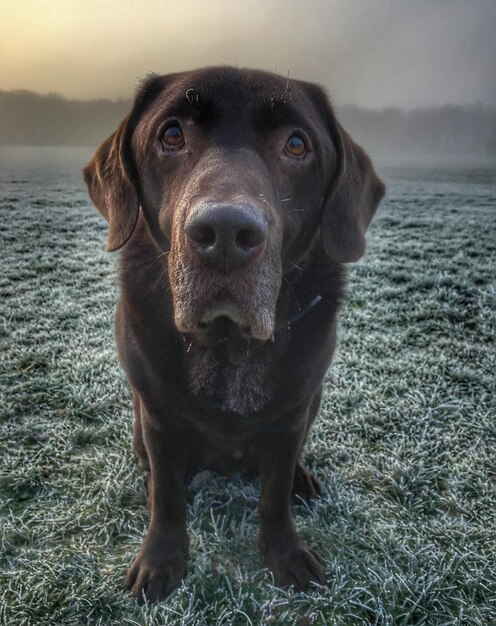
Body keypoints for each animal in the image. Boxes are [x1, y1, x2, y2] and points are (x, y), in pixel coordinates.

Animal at [83, 67, 384, 600]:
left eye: (296, 143)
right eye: (172, 134)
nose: (224, 233)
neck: (228, 343)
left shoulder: (291, 416)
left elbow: (273, 495)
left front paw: (285, 553)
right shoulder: (157, 416)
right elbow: (168, 497)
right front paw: (161, 559)